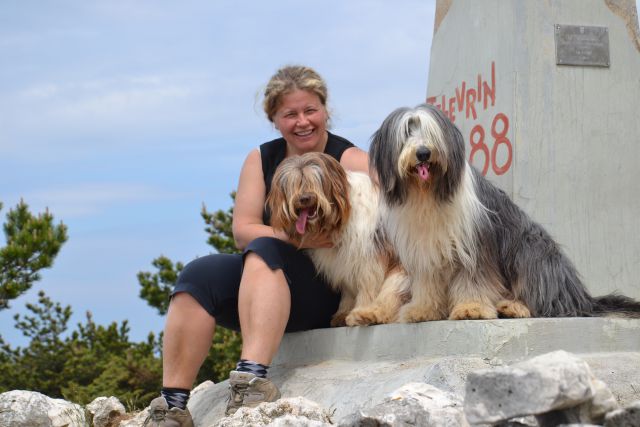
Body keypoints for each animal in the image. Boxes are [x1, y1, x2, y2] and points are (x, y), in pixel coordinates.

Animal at [266, 152, 408, 326]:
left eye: (315, 181)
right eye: (294, 183)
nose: (305, 198)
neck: (342, 215)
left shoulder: (369, 256)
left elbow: (367, 286)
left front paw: (358, 308)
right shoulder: (343, 262)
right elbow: (348, 289)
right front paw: (342, 313)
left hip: (402, 273)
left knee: (390, 300)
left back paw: (366, 314)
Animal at [368, 103, 640, 322]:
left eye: (432, 134)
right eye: (406, 133)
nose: (424, 153)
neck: (428, 194)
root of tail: (582, 297)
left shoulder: (475, 245)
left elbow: (474, 278)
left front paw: (472, 308)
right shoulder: (426, 250)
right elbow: (427, 283)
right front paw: (422, 310)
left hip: (532, 251)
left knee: (544, 303)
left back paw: (514, 307)